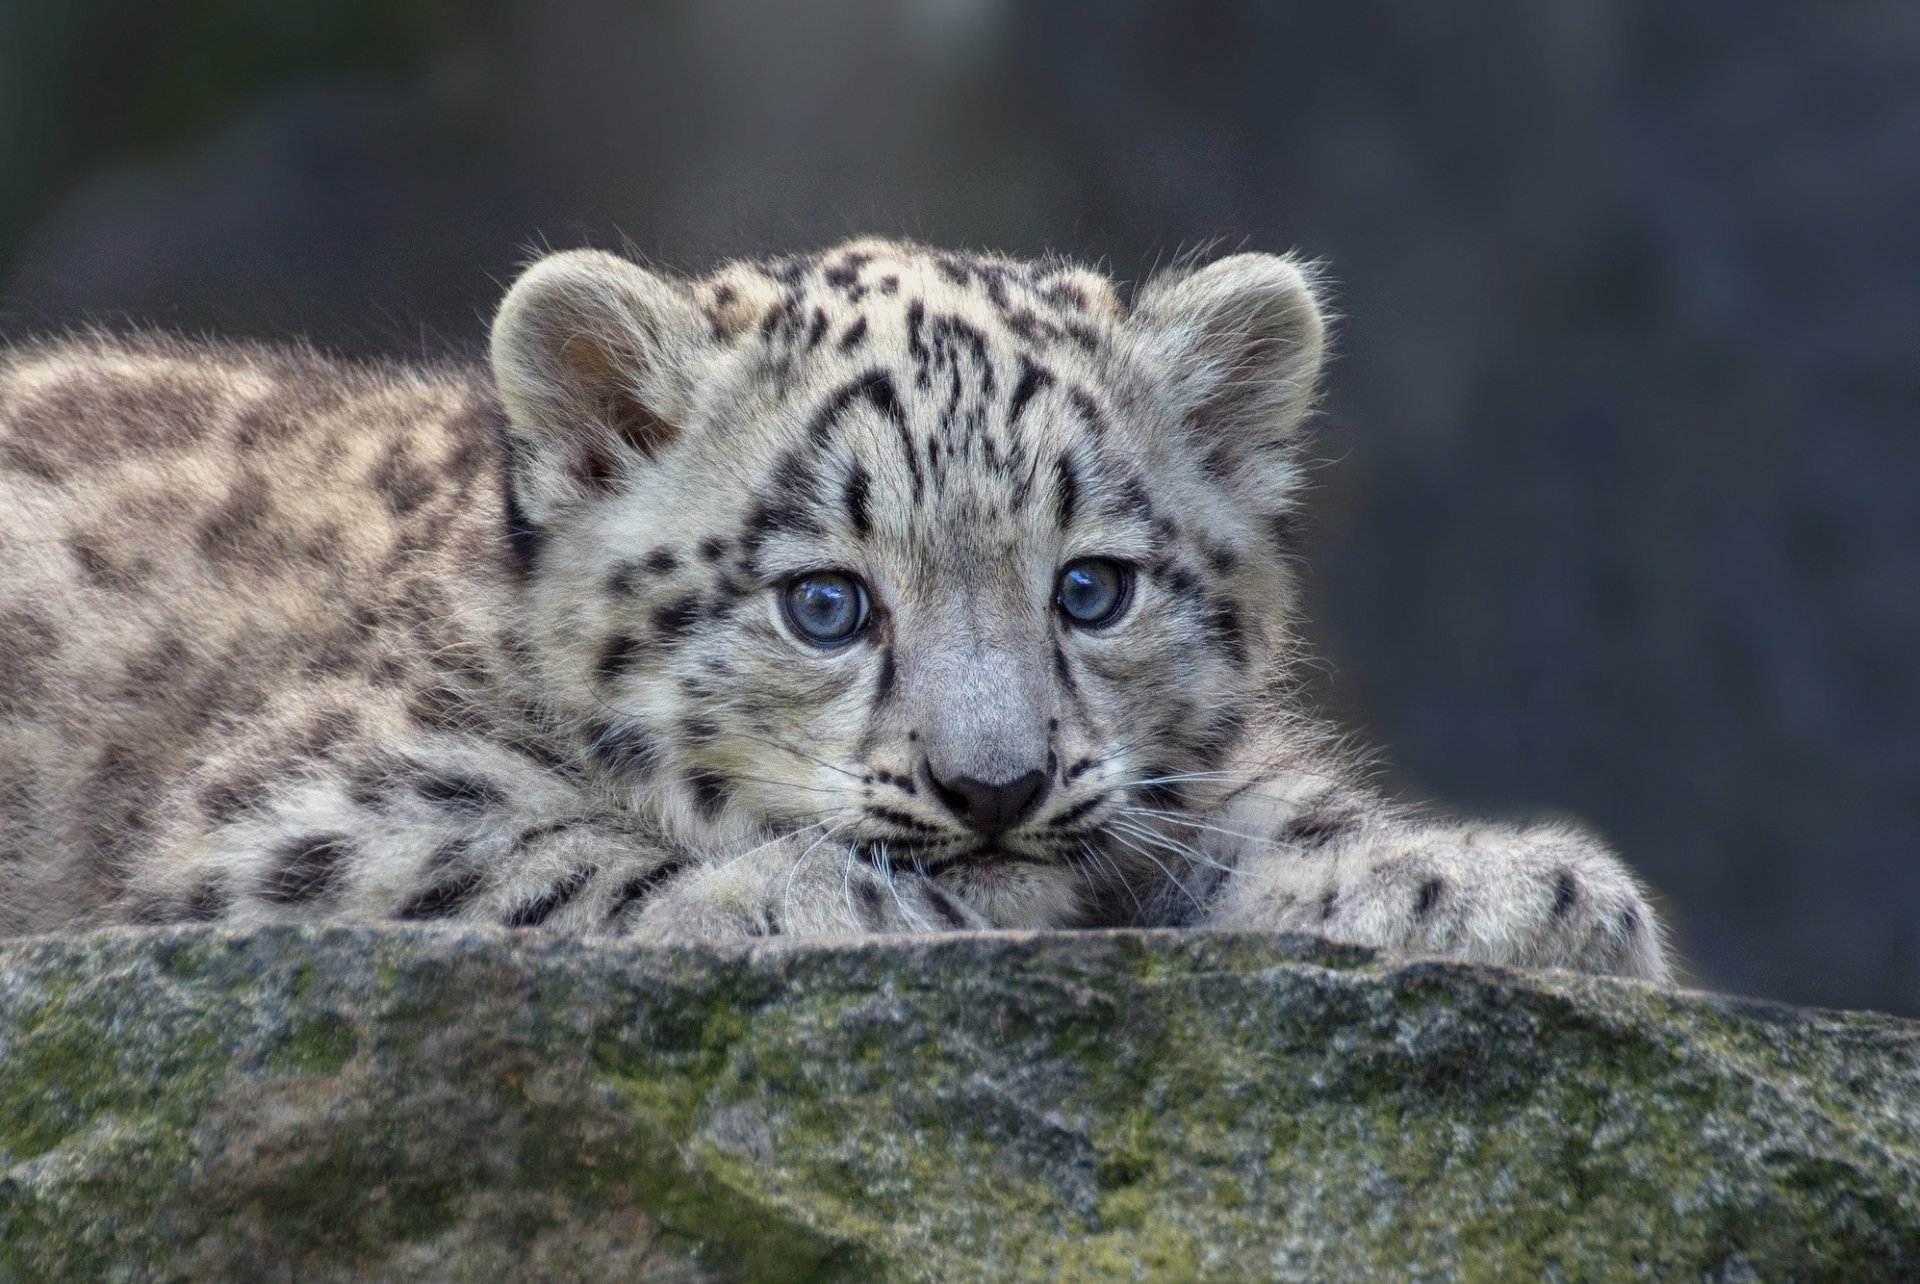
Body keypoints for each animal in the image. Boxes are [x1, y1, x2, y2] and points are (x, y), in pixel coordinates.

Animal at [0, 238, 1670, 980]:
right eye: (825, 602)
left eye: (1090, 587)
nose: (993, 787)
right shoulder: (296, 816)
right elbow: (538, 858)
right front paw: (818, 898)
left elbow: (1259, 820)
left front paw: (1504, 887)